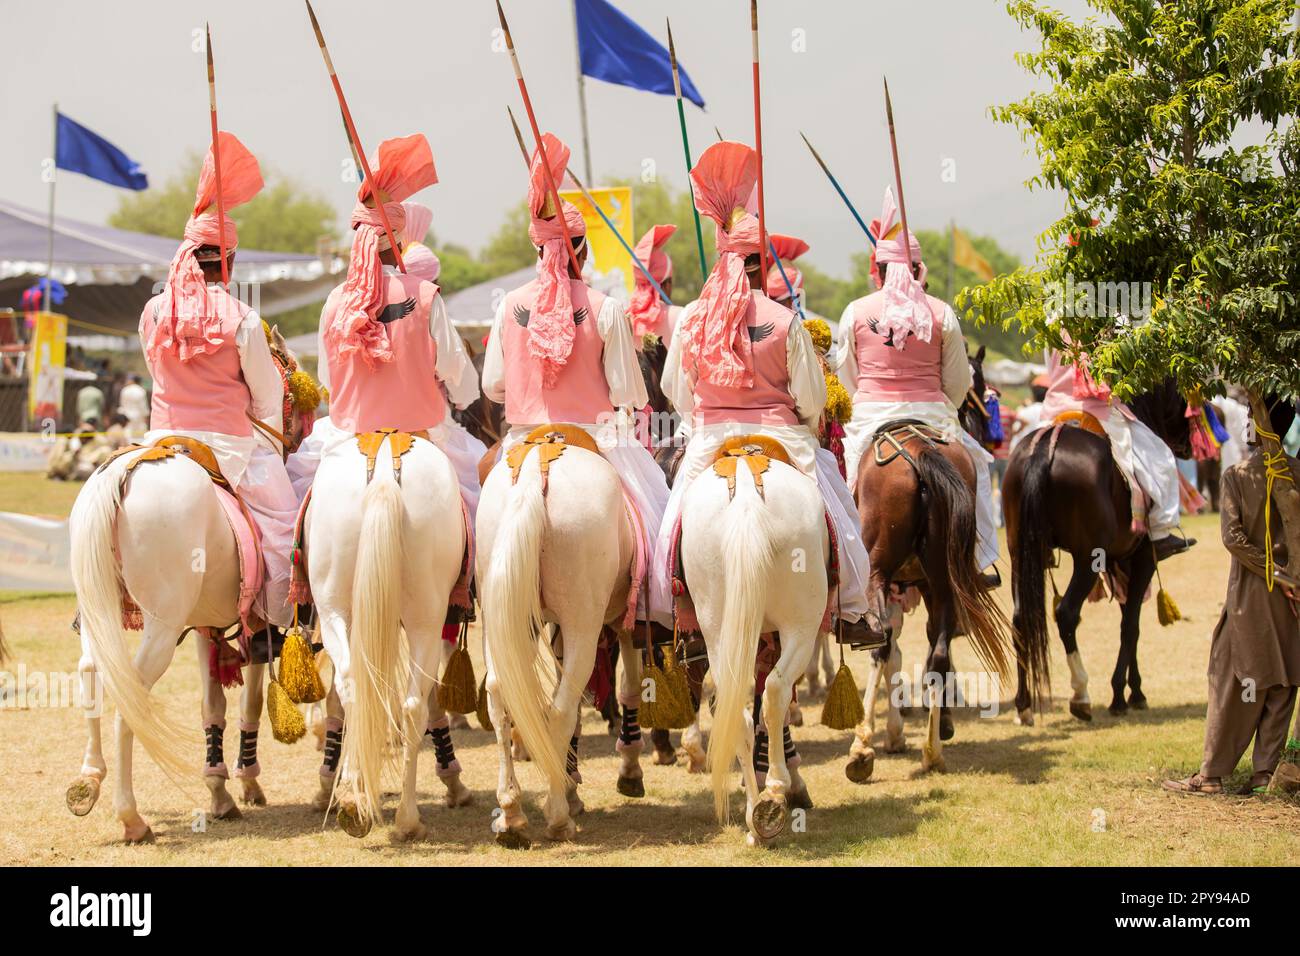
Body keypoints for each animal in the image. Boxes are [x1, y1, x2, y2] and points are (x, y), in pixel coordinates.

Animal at [304, 437, 467, 842]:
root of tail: (381, 474)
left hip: (334, 609)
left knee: (357, 690)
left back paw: (359, 805)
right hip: (425, 618)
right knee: (410, 705)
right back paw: (405, 818)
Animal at [475, 439, 642, 842]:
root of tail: (535, 471)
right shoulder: (623, 620)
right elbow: (628, 685)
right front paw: (628, 770)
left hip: (503, 615)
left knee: (500, 697)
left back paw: (511, 814)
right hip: (583, 621)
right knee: (561, 709)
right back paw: (557, 817)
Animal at [676, 452, 826, 848]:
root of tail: (745, 500)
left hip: (716, 624)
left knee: (734, 709)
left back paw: (755, 815)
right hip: (801, 625)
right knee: (775, 691)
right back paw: (774, 790)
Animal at [1003, 377, 1190, 723]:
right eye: (1178, 392)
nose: (1186, 441)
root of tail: (1046, 446)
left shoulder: (1120, 562)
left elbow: (1128, 617)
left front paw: (1133, 690)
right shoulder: (1140, 559)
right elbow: (1131, 626)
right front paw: (1123, 695)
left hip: (1019, 554)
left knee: (1021, 619)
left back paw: (1023, 705)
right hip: (1086, 559)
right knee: (1066, 613)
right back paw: (1081, 695)